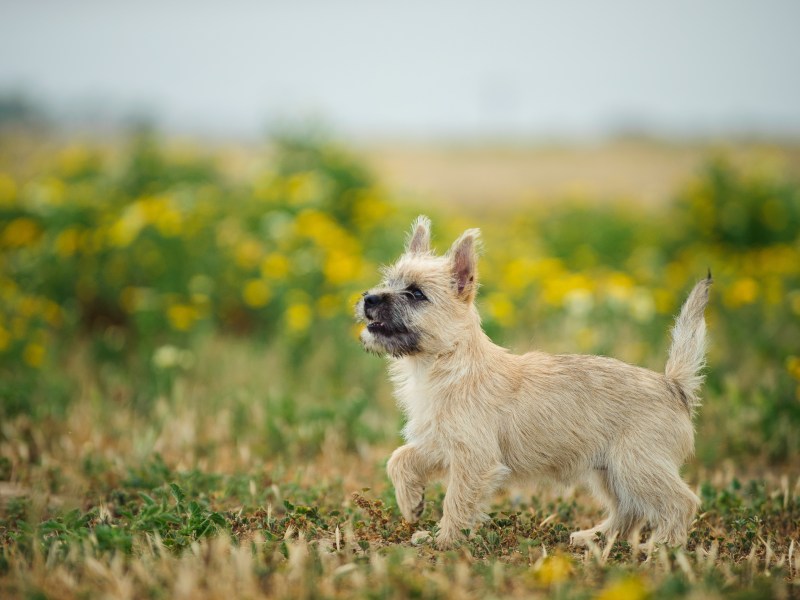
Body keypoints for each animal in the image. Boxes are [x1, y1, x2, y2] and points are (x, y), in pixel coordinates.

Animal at [356, 214, 712, 548]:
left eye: (416, 293)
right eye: (388, 282)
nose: (369, 298)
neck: (444, 363)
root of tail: (674, 386)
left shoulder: (474, 459)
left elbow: (456, 502)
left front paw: (444, 541)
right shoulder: (440, 444)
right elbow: (400, 458)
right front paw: (411, 503)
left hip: (636, 466)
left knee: (681, 502)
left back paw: (664, 547)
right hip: (610, 471)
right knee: (629, 510)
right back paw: (597, 537)